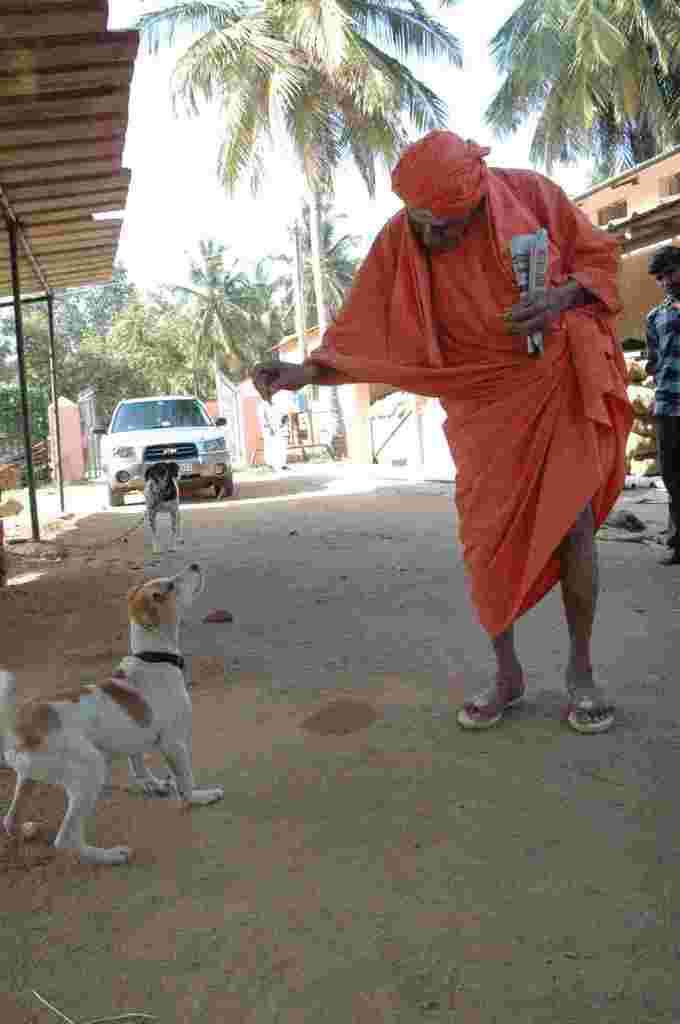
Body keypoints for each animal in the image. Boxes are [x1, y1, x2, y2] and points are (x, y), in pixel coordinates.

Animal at [0, 561, 223, 864]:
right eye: (169, 586)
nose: (195, 565)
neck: (154, 657)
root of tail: (19, 731)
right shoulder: (174, 743)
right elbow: (185, 781)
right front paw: (200, 797)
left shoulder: (137, 737)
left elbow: (138, 763)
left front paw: (151, 783)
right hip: (90, 770)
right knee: (66, 839)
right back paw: (109, 855)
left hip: (29, 778)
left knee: (9, 819)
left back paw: (24, 829)